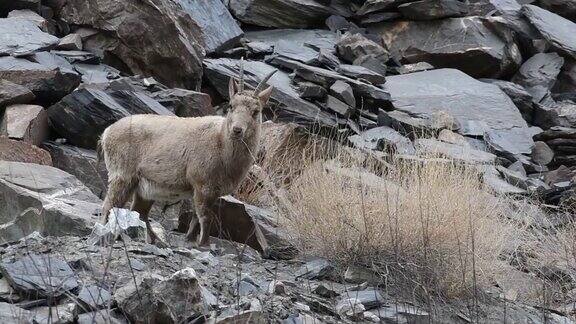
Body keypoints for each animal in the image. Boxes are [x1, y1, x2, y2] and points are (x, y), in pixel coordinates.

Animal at [99, 65, 276, 246]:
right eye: (231, 106)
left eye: (256, 111)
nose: (237, 130)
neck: (221, 143)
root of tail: (107, 133)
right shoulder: (202, 185)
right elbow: (205, 216)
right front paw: (204, 244)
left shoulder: (211, 192)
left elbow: (196, 217)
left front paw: (190, 239)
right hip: (123, 175)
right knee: (109, 205)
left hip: (144, 189)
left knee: (139, 212)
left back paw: (154, 240)